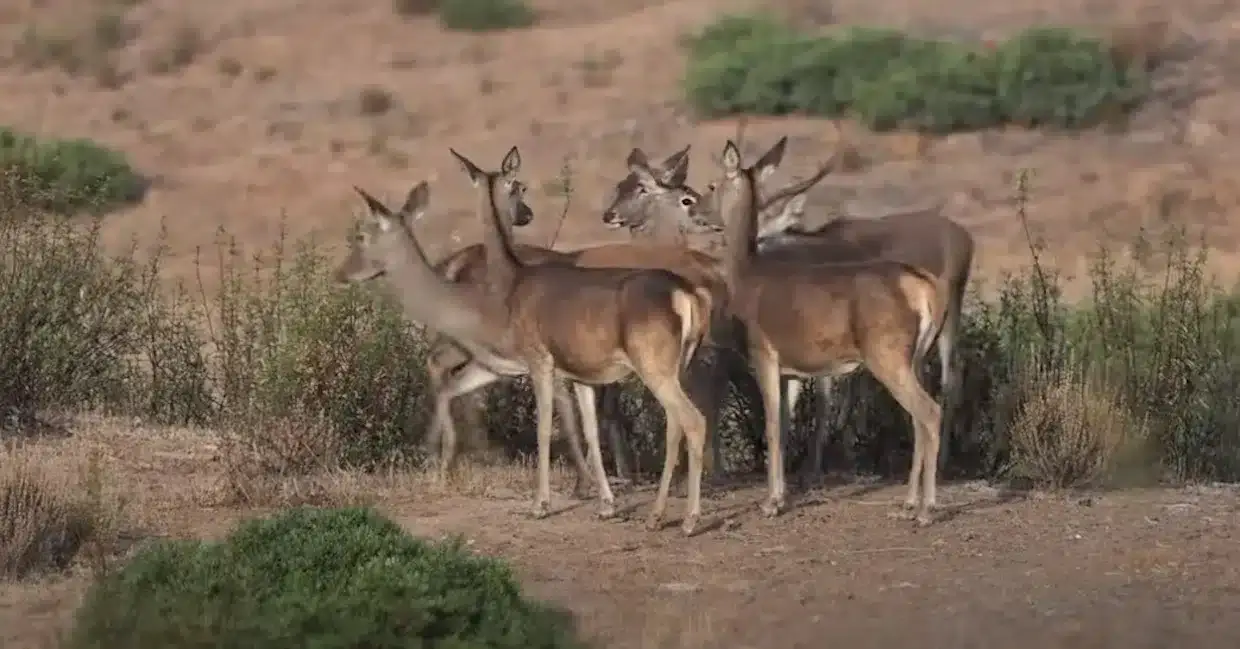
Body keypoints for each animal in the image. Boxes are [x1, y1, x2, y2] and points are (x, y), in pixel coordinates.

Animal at [624, 138, 942, 528]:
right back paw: (909, 504)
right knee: (919, 419)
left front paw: (770, 503)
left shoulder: (763, 355)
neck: (746, 276)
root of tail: (923, 288)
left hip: (888, 356)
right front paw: (780, 496)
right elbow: (785, 427)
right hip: (916, 358)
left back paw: (926, 509)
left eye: (713, 185)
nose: (696, 209)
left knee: (929, 413)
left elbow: (772, 424)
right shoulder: (791, 371)